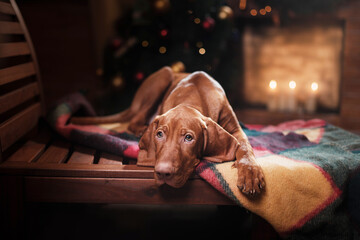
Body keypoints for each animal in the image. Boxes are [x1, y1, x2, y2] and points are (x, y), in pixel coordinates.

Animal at [72, 66, 264, 194]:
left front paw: (251, 172)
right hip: (164, 75)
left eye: (189, 138)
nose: (163, 173)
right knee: (133, 120)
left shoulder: (236, 129)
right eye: (159, 134)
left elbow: (245, 147)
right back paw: (139, 129)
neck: (193, 97)